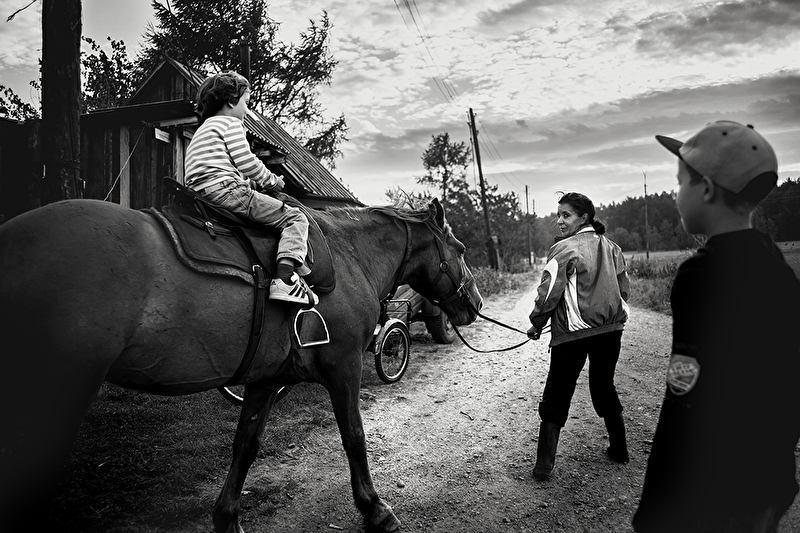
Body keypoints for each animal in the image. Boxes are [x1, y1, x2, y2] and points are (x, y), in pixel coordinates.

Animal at [0, 196, 483, 532]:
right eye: (460, 248)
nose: (475, 304)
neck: (350, 255)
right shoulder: (344, 366)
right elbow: (354, 436)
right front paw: (375, 509)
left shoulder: (265, 380)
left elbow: (246, 446)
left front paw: (227, 517)